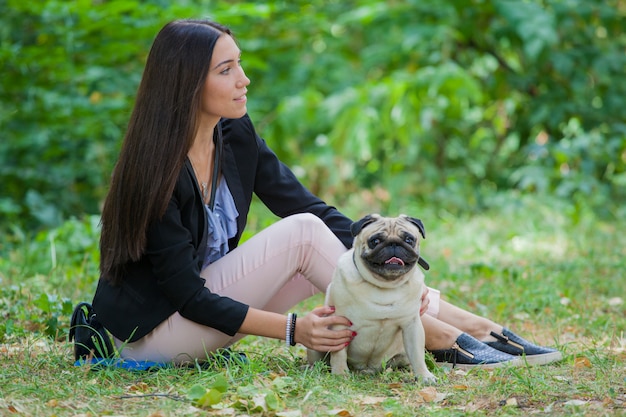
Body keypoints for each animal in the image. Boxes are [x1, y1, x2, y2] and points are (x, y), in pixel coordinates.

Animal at [310, 214, 436, 384]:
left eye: (409, 239)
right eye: (375, 241)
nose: (394, 244)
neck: (384, 285)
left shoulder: (412, 325)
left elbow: (417, 354)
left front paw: (424, 375)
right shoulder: (340, 324)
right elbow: (339, 353)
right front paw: (340, 374)